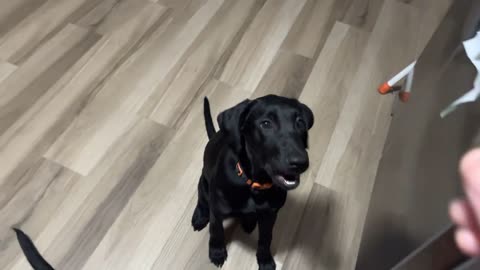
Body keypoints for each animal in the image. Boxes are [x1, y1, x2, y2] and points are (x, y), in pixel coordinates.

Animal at [193, 94, 314, 268]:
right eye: (266, 123)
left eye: (300, 122)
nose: (300, 163)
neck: (255, 184)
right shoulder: (217, 210)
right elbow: (216, 231)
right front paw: (217, 252)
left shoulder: (270, 215)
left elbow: (265, 239)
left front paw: (265, 260)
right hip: (203, 184)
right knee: (202, 200)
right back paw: (200, 216)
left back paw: (248, 221)